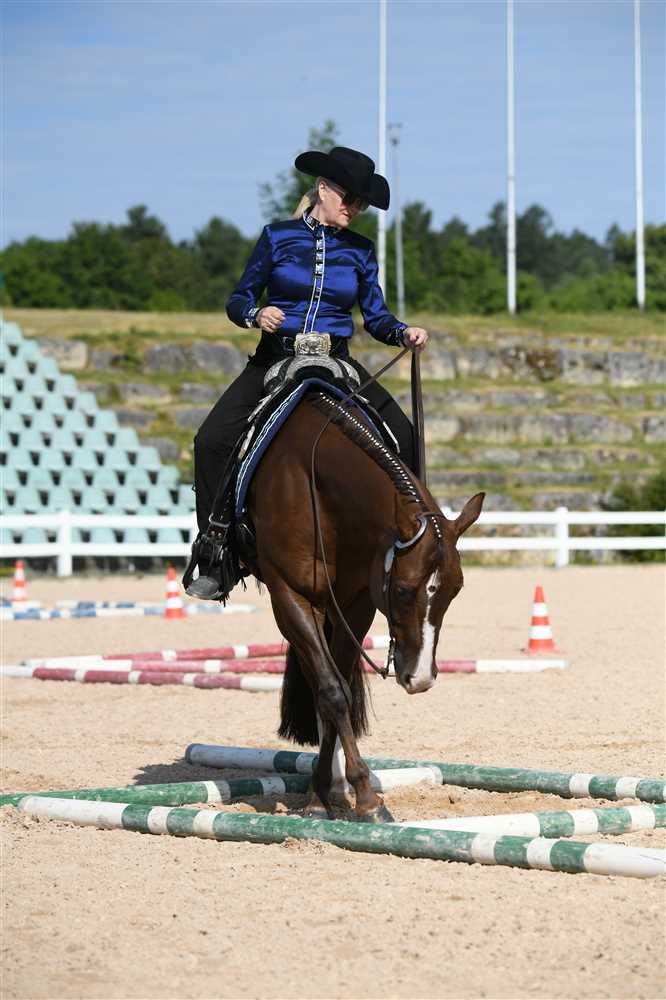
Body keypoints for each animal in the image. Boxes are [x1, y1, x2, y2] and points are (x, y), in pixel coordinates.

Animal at [246, 388, 483, 822]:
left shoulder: (355, 603)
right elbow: (333, 692)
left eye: (455, 590)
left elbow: (338, 687)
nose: (420, 678)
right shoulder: (289, 596)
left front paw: (323, 793)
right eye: (403, 590)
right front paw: (366, 799)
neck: (313, 485)